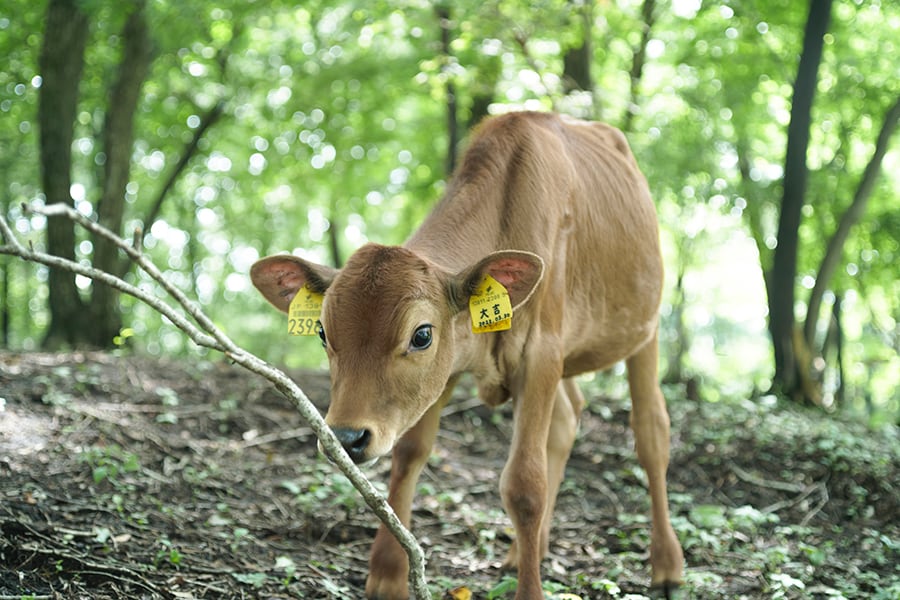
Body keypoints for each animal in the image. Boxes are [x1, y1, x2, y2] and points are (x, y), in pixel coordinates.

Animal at [250, 111, 684, 596]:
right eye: (323, 331)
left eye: (422, 335)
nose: (345, 438)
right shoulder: (451, 366)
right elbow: (409, 455)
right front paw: (387, 575)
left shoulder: (541, 355)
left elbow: (524, 485)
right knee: (566, 420)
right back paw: (528, 550)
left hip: (644, 330)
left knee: (651, 432)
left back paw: (667, 564)